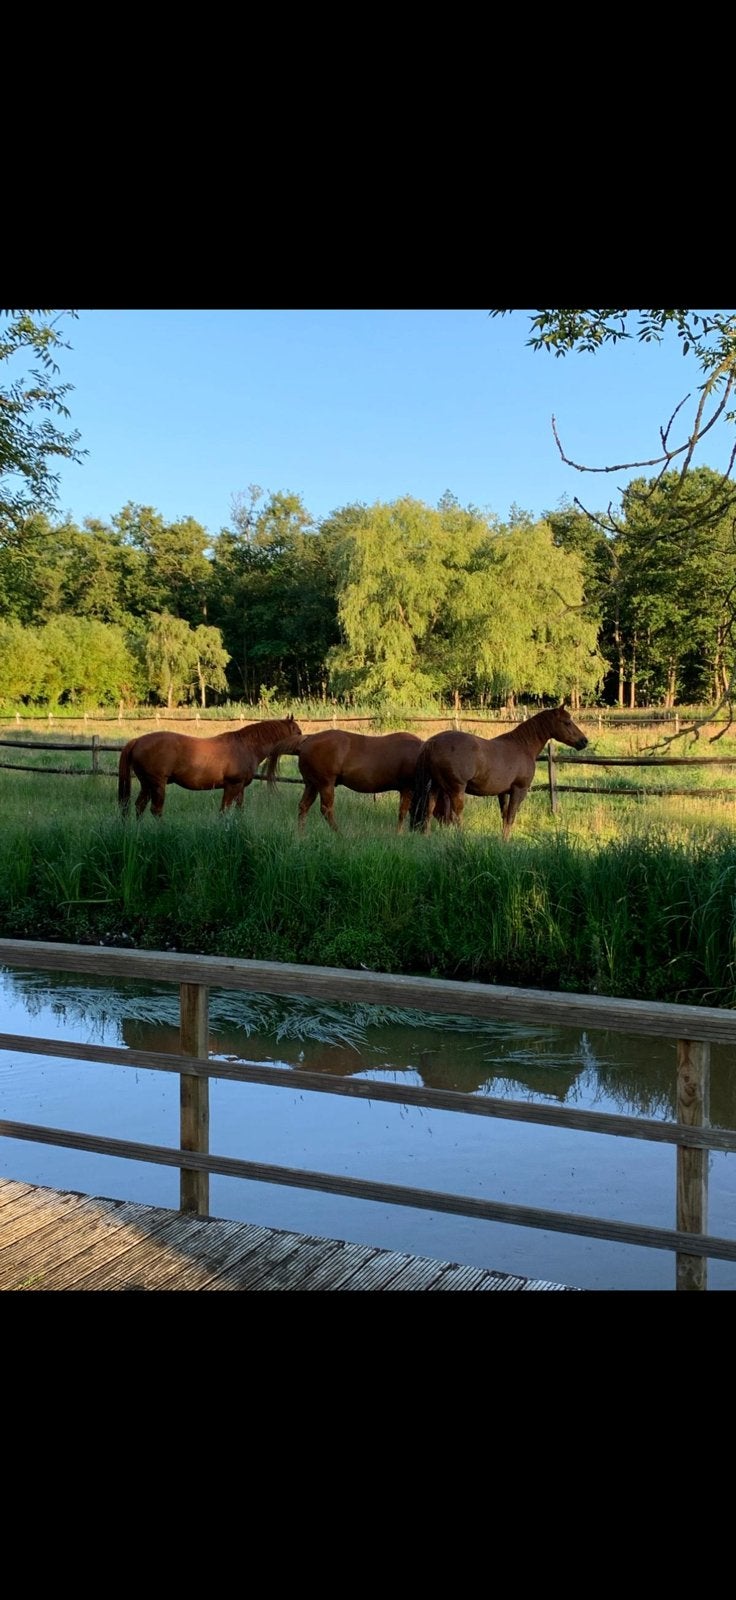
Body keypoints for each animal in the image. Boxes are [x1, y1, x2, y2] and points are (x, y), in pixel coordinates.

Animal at [118, 714, 302, 818]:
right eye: (298, 732)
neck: (246, 746)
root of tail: (137, 741)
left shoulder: (240, 787)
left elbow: (239, 810)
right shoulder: (232, 786)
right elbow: (224, 811)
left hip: (147, 785)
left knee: (139, 807)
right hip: (157, 784)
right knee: (156, 810)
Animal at [264, 727, 452, 832]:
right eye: (446, 805)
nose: (448, 824)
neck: (420, 755)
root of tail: (307, 740)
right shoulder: (407, 788)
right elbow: (402, 813)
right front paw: (399, 834)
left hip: (312, 785)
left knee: (303, 807)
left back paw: (301, 835)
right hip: (325, 784)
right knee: (326, 810)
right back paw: (339, 835)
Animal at [409, 705, 588, 839]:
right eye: (567, 722)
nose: (584, 741)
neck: (522, 746)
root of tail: (432, 742)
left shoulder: (503, 793)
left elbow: (504, 817)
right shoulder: (518, 790)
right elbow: (510, 817)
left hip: (434, 788)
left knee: (428, 812)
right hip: (455, 790)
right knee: (455, 816)